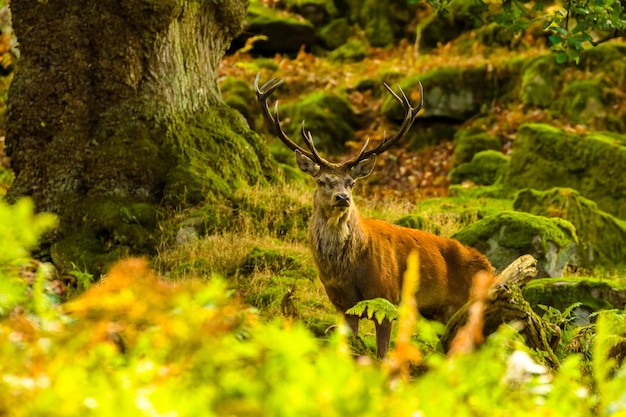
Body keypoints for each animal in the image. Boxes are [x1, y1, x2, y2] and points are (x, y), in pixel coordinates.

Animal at [254, 73, 492, 356]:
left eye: (351, 183)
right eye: (322, 181)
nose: (342, 198)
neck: (348, 267)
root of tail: (491, 267)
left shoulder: (386, 297)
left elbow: (381, 354)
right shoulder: (342, 304)